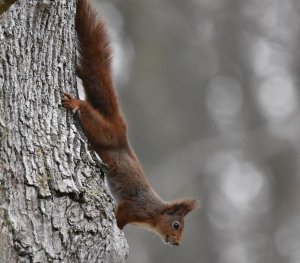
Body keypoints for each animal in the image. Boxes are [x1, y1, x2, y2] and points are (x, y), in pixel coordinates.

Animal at [61, 0, 198, 246]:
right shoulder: (134, 208)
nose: (176, 243)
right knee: (88, 112)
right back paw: (76, 103)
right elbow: (121, 216)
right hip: (103, 133)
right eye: (176, 225)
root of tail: (121, 129)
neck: (153, 216)